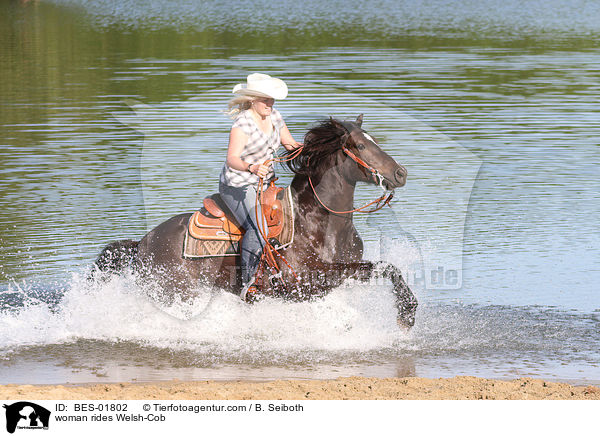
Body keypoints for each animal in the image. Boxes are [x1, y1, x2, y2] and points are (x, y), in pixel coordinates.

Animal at [96, 116, 420, 328]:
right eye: (361, 147)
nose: (401, 173)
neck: (318, 222)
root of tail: (142, 243)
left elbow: (382, 268)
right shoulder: (309, 282)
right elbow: (385, 267)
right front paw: (406, 313)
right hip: (175, 294)